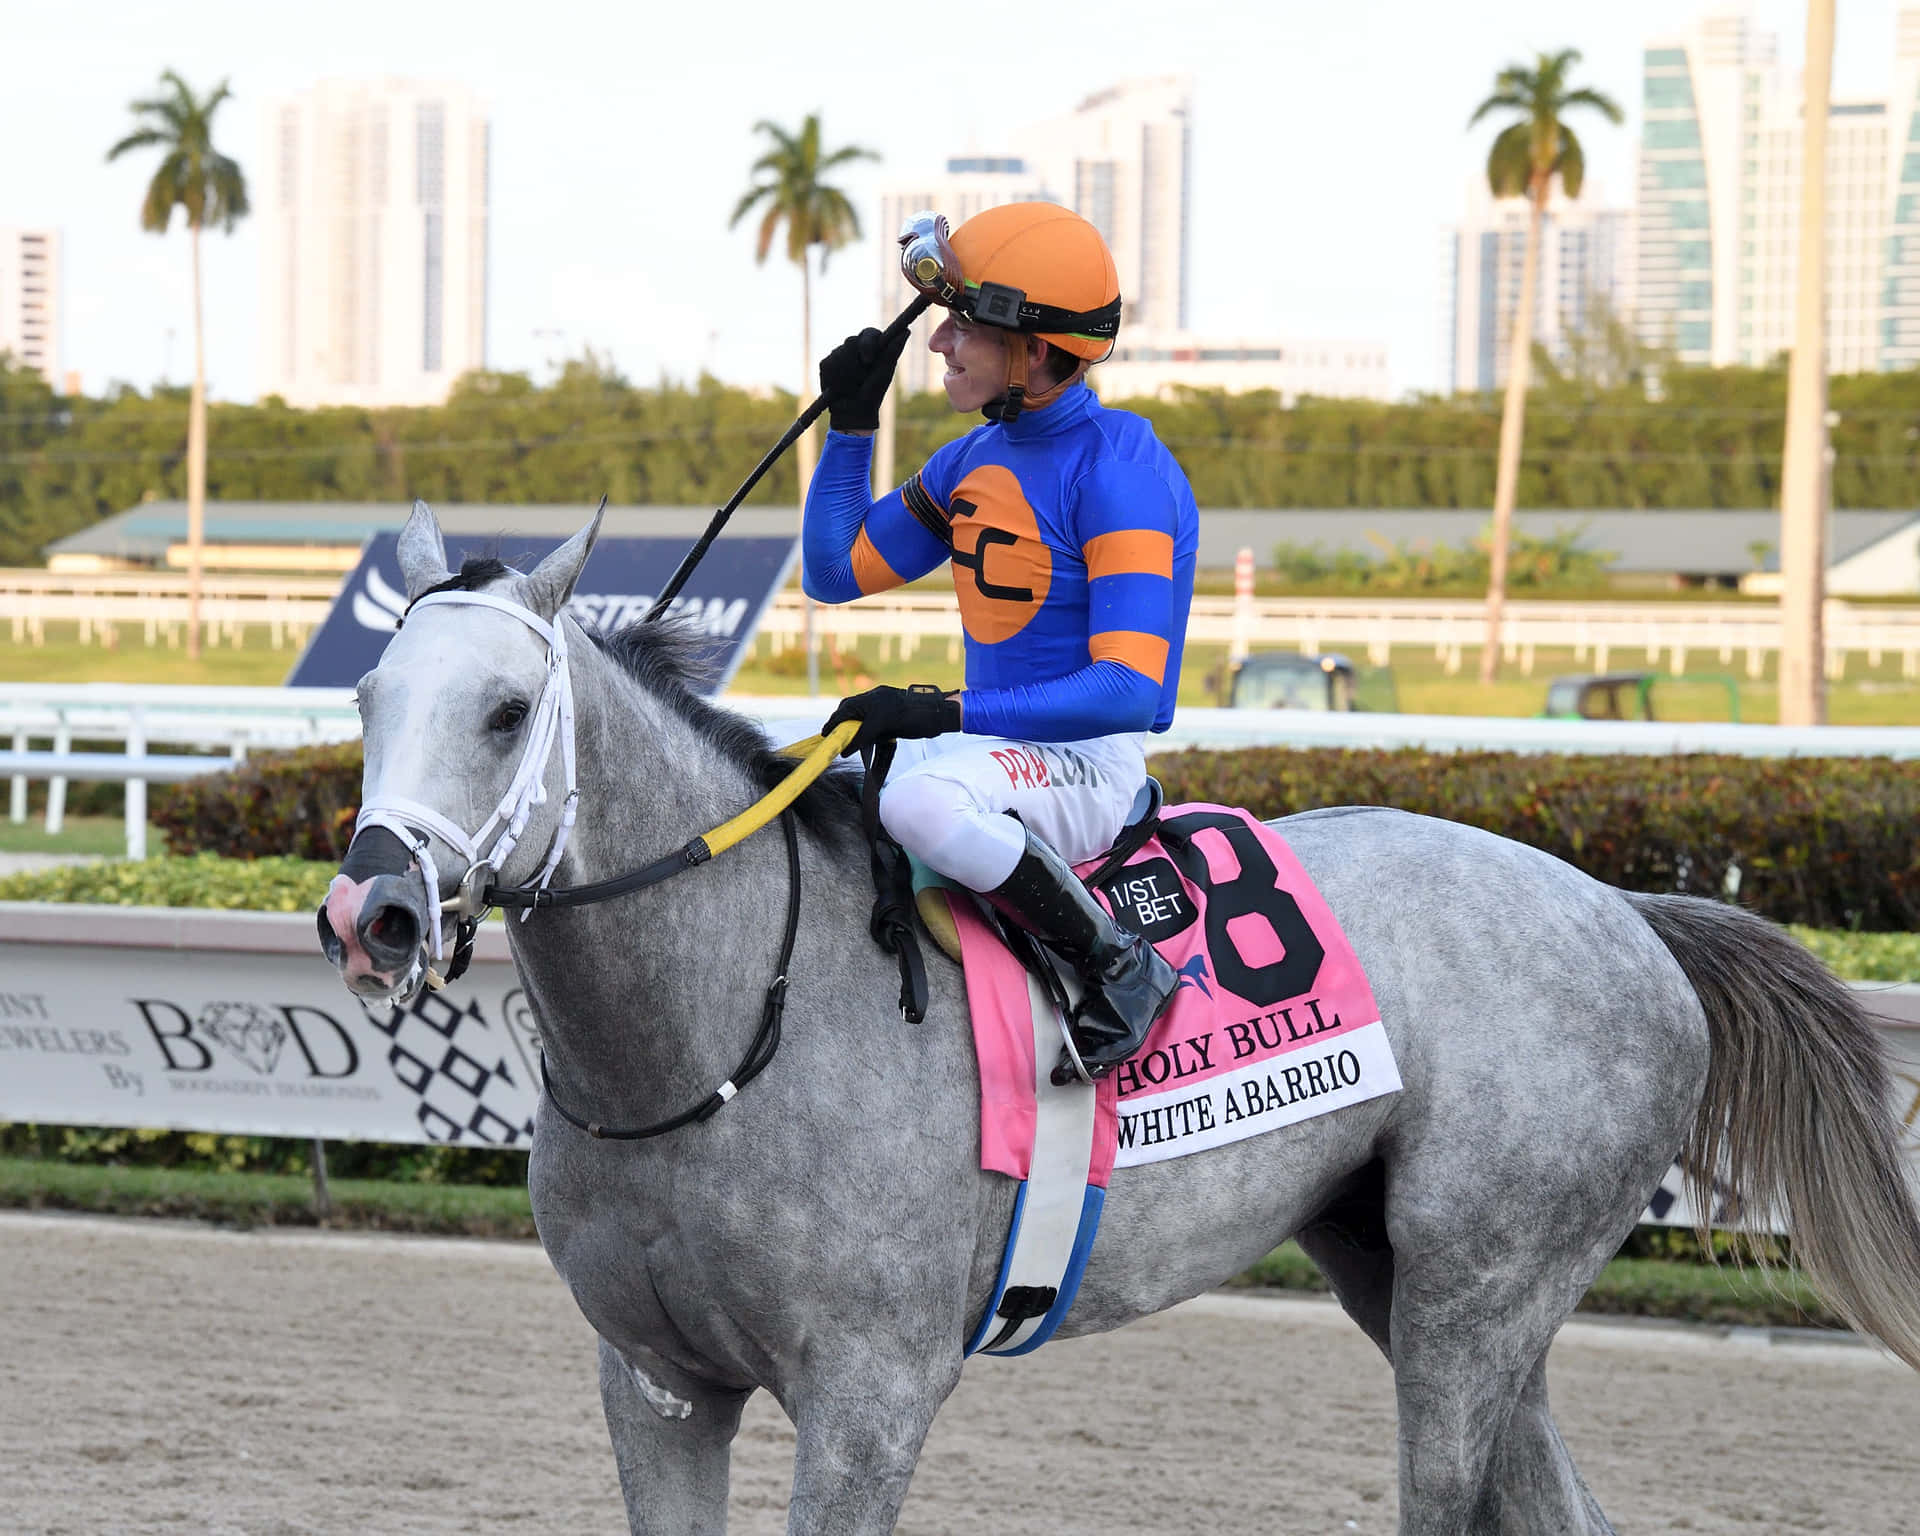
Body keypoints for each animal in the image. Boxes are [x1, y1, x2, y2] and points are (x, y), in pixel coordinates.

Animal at [318, 502, 1920, 1535]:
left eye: (506, 712)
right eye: (368, 693)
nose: (371, 910)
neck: (715, 1039)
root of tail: (1628, 911)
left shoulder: (868, 1394)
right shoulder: (655, 1385)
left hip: (1482, 1285)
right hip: (1414, 1275)